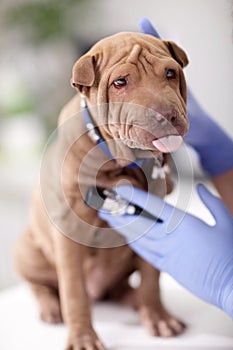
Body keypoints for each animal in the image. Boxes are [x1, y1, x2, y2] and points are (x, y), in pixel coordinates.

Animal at [15, 31, 189, 348]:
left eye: (170, 73)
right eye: (119, 83)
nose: (167, 115)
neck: (121, 163)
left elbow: (151, 278)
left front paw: (158, 316)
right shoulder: (68, 234)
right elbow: (74, 292)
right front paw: (83, 336)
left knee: (121, 287)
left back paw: (136, 301)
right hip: (27, 251)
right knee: (41, 286)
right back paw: (50, 307)